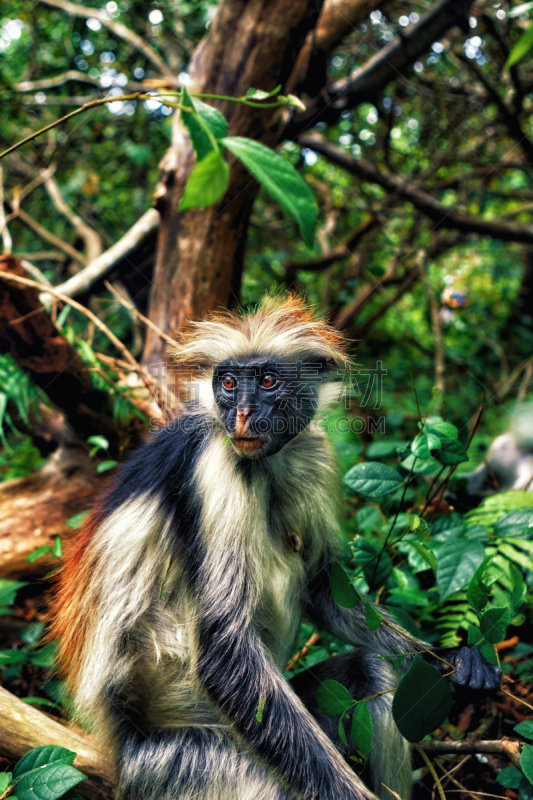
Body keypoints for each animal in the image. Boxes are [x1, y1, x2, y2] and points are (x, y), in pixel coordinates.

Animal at [51, 296, 498, 800]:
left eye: (267, 381)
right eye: (228, 383)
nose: (242, 415)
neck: (266, 461)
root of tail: (122, 751)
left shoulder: (311, 450)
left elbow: (324, 586)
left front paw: (451, 660)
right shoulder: (217, 461)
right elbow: (224, 654)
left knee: (372, 672)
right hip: (181, 764)